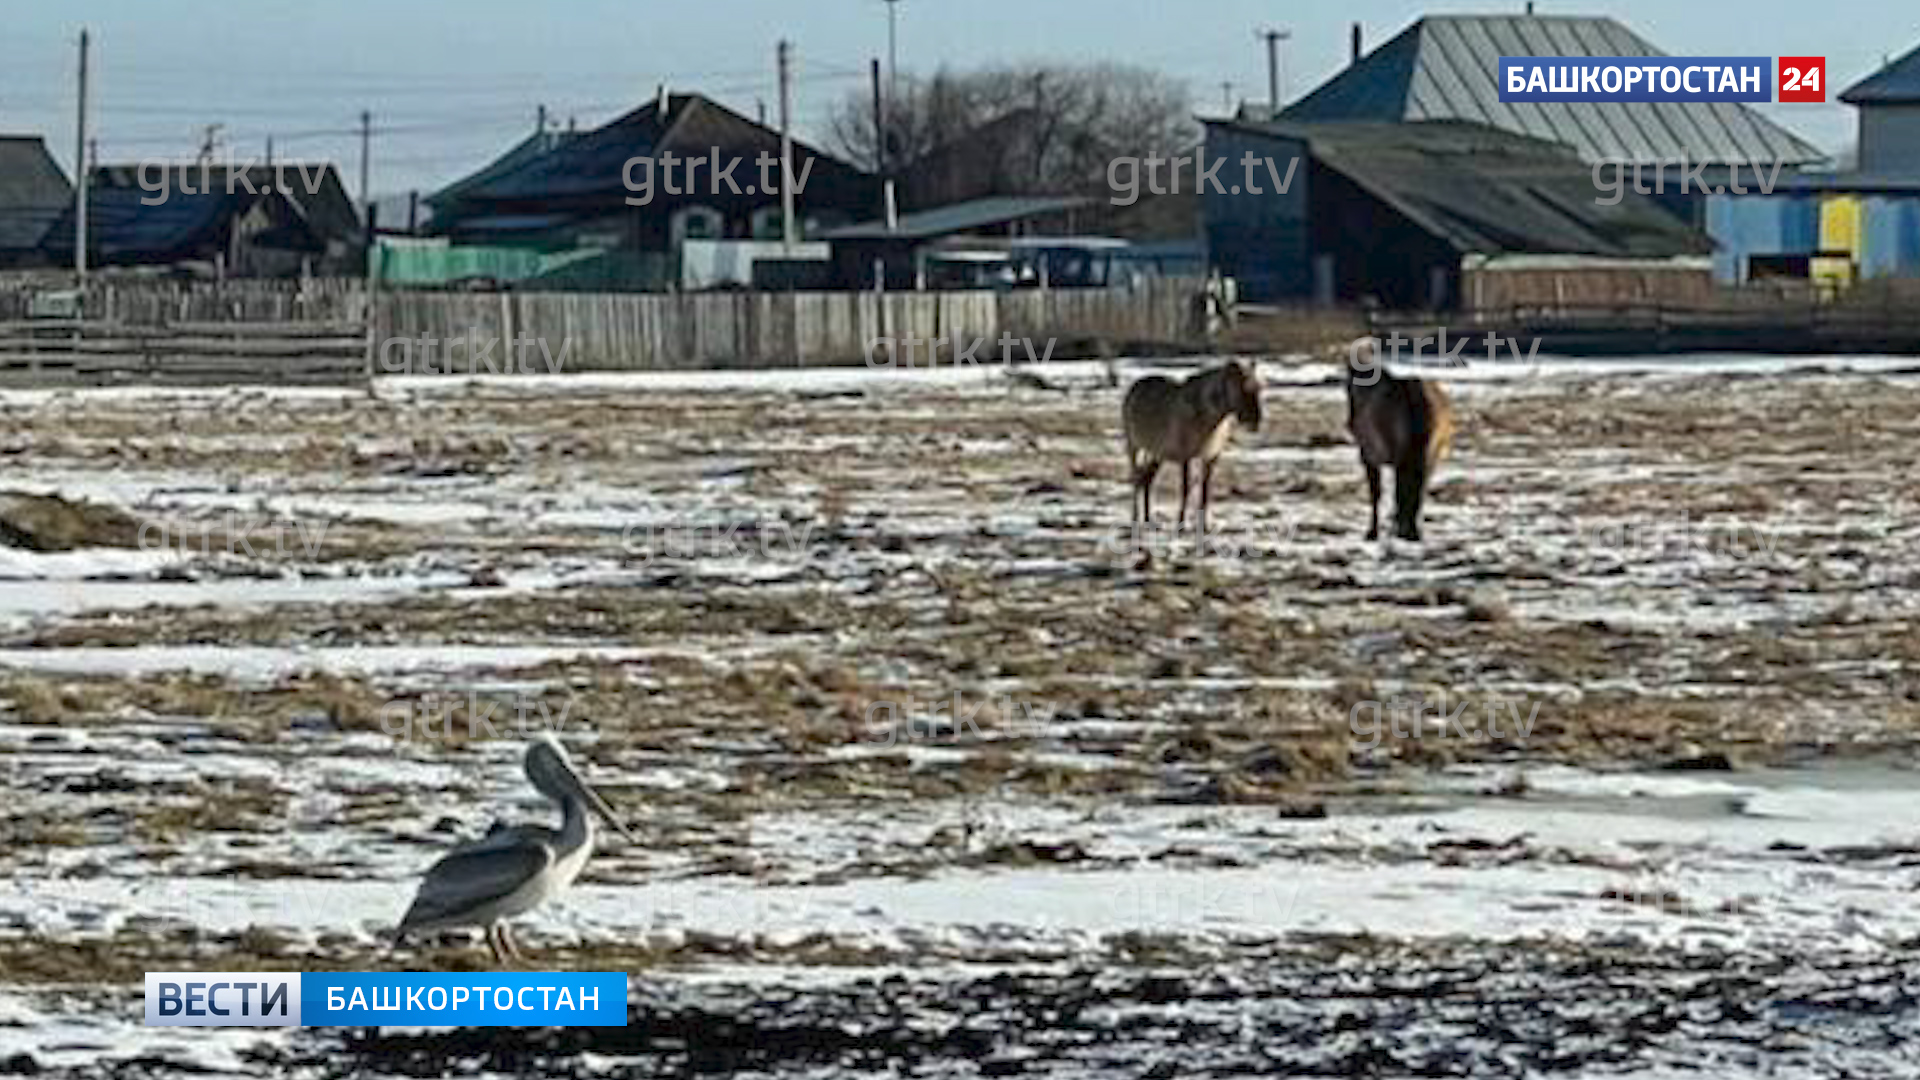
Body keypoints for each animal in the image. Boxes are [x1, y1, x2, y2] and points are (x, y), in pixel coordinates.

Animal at [1121, 359, 1267, 530]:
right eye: (1242, 388)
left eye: (1259, 387)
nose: (1256, 422)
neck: (1206, 416)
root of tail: (1135, 386)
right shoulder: (1186, 456)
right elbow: (1186, 489)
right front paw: (1181, 524)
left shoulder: (1211, 457)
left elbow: (1205, 492)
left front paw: (1205, 526)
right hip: (1134, 447)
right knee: (1136, 479)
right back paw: (1135, 518)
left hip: (1156, 454)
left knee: (1147, 481)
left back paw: (1148, 520)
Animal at [1351, 357, 1451, 538]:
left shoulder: (1369, 457)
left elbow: (1377, 493)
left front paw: (1373, 532)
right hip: (1427, 457)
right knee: (1417, 488)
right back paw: (1410, 529)